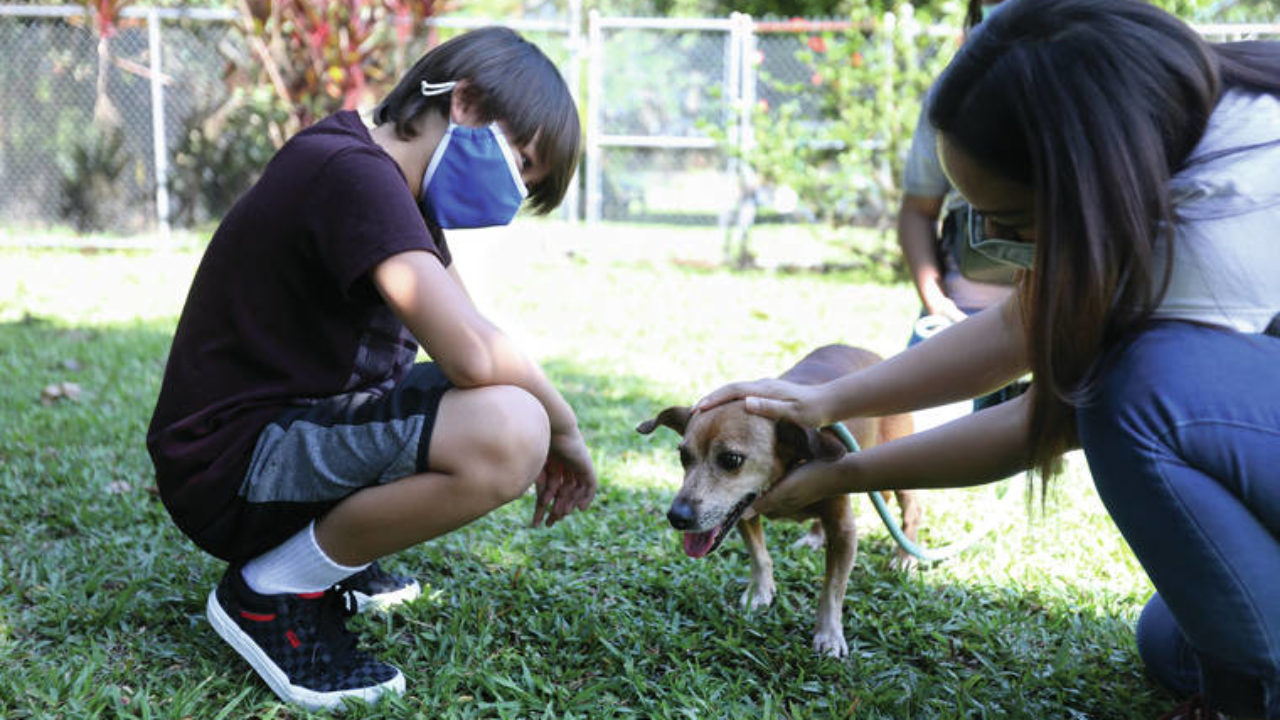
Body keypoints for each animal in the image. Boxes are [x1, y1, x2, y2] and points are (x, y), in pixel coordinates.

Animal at [637, 343, 921, 655]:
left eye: (731, 459)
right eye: (683, 456)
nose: (677, 517)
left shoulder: (844, 530)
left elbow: (832, 589)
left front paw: (829, 634)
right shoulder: (743, 513)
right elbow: (760, 557)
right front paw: (759, 592)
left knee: (912, 512)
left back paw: (905, 556)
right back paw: (814, 537)